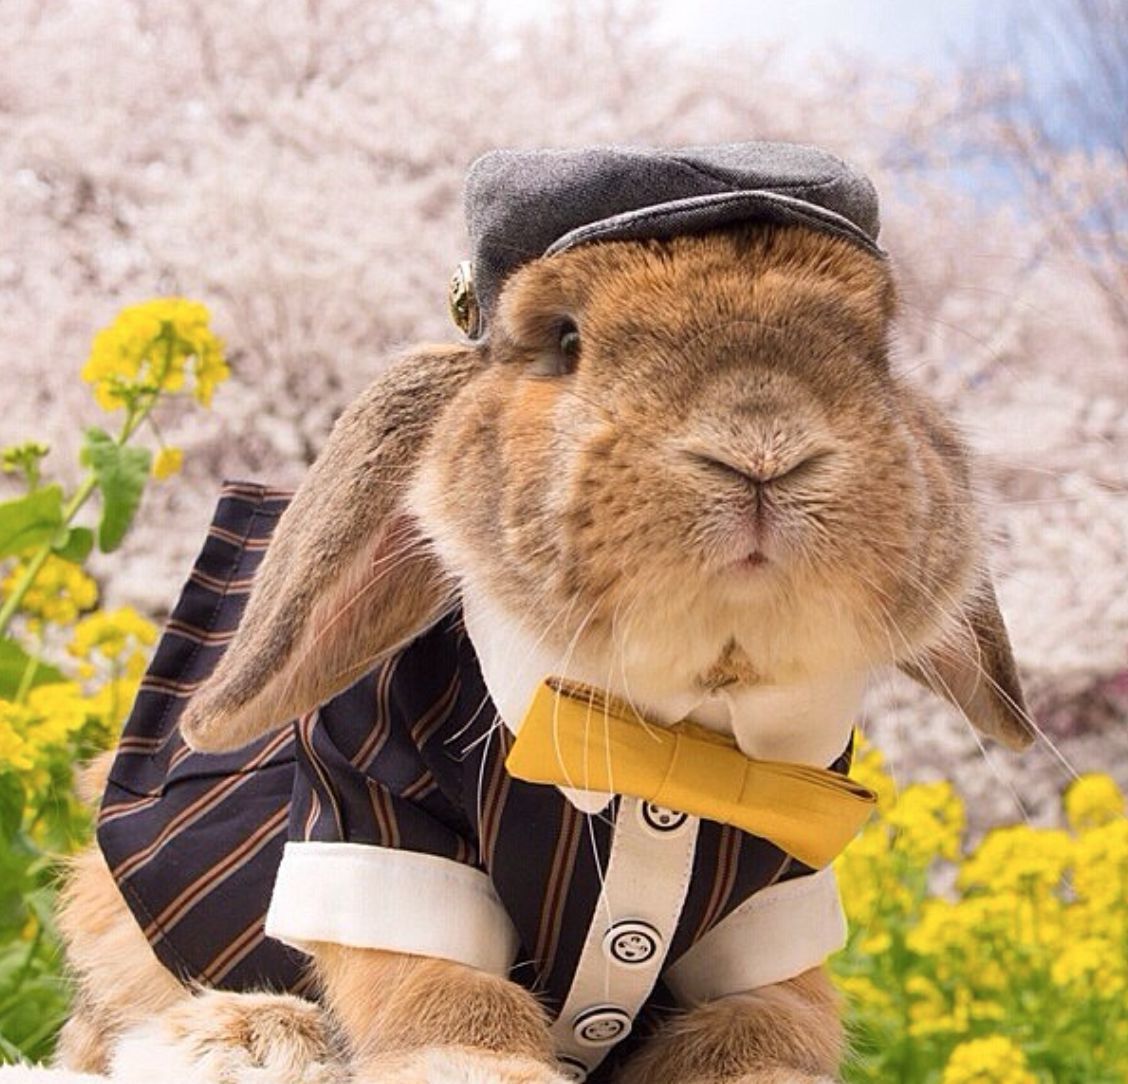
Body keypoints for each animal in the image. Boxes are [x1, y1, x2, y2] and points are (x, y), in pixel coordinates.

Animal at [59, 145, 1033, 1082]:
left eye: (880, 357)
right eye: (564, 342)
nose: (763, 447)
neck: (678, 740)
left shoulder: (777, 903)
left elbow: (772, 1022)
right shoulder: (372, 813)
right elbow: (437, 985)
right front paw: (479, 1065)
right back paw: (245, 1039)